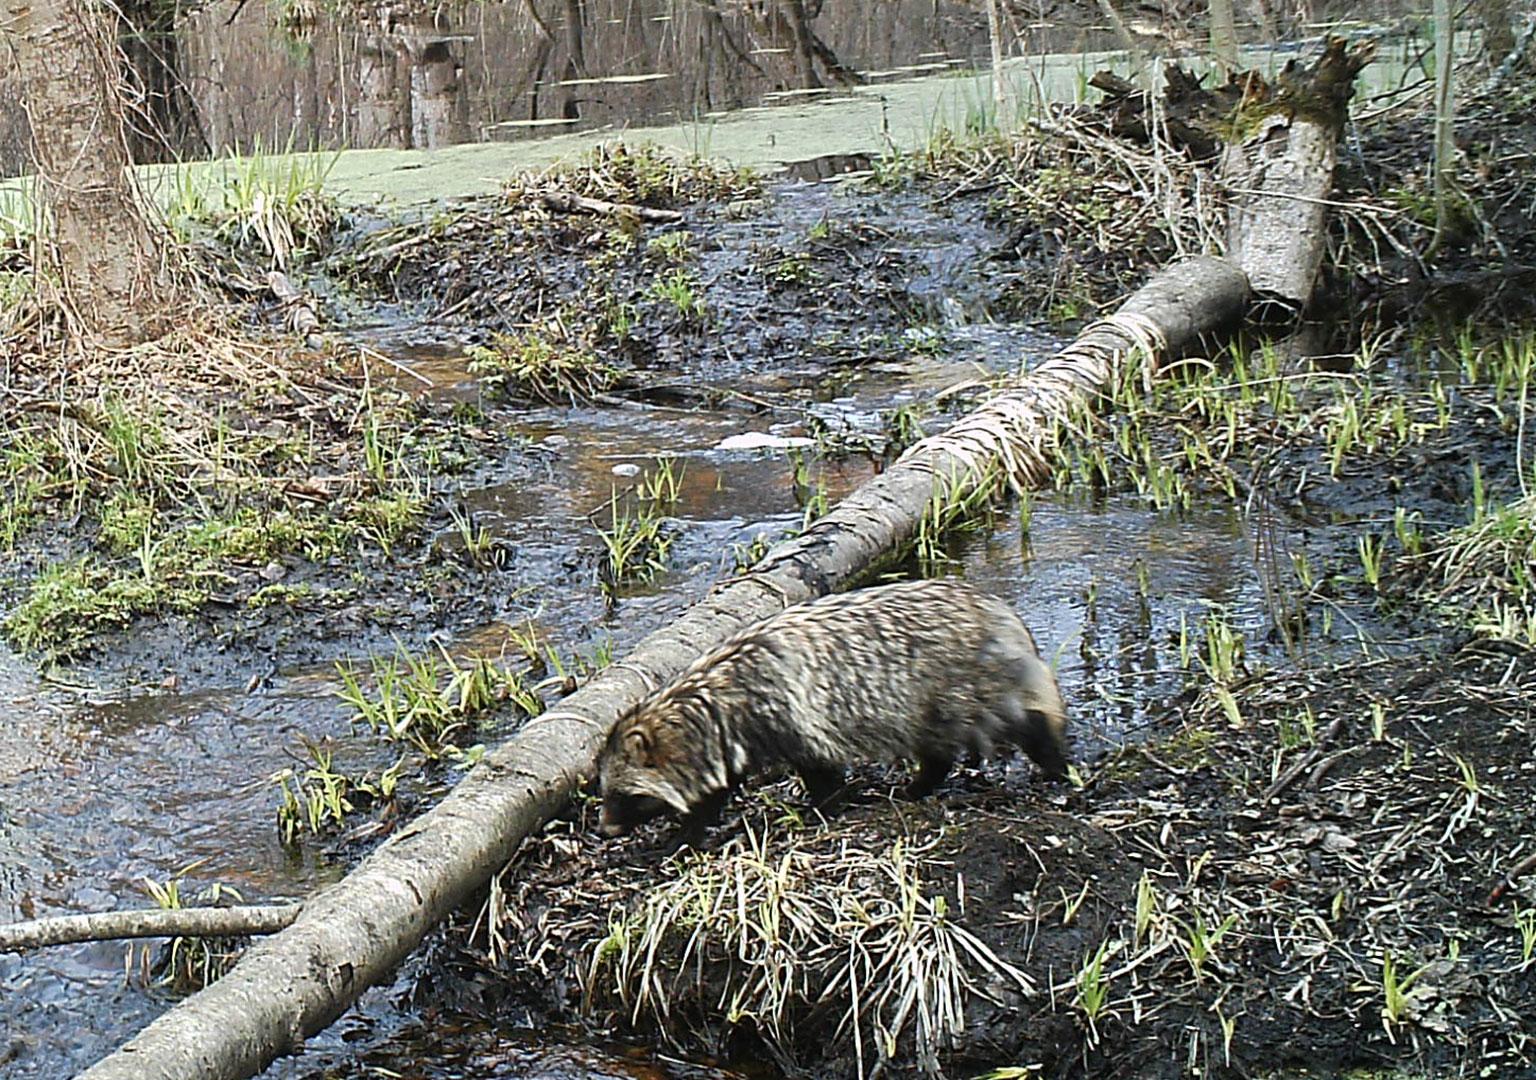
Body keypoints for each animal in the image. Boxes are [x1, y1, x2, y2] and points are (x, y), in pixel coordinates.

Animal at [599, 583, 1069, 848]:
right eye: (605, 792)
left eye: (622, 795)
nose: (603, 830)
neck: (713, 698)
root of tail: (1003, 615)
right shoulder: (731, 739)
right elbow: (717, 788)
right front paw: (692, 829)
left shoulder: (789, 714)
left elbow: (820, 769)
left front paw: (823, 807)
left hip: (963, 684)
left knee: (1012, 721)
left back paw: (1050, 761)